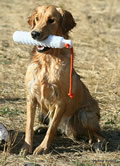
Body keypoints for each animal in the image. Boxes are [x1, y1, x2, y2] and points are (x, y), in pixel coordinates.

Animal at [21, 5, 104, 156]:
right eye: (37, 19)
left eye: (51, 20)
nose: (34, 34)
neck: (48, 60)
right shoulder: (31, 97)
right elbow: (29, 126)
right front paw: (26, 147)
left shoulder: (60, 101)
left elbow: (52, 129)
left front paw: (43, 148)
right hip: (43, 114)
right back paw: (40, 128)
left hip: (84, 114)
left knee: (100, 135)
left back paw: (98, 144)